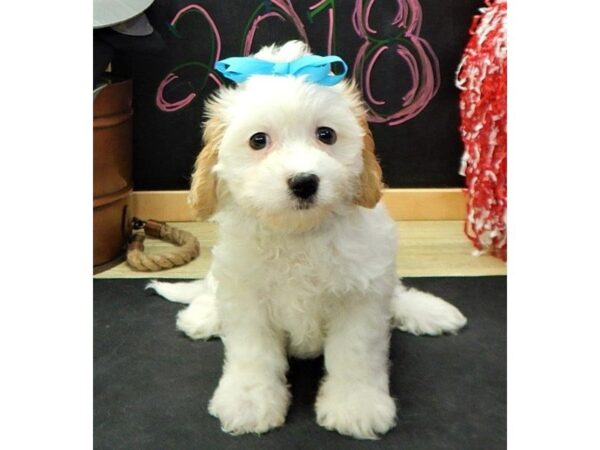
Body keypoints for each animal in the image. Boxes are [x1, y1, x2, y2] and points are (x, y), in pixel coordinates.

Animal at [148, 40, 466, 438]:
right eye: (258, 140)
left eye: (326, 135)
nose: (304, 182)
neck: (299, 233)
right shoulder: (247, 297)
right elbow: (252, 354)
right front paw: (248, 401)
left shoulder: (361, 296)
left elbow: (355, 354)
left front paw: (355, 404)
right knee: (210, 289)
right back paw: (203, 315)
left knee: (395, 293)